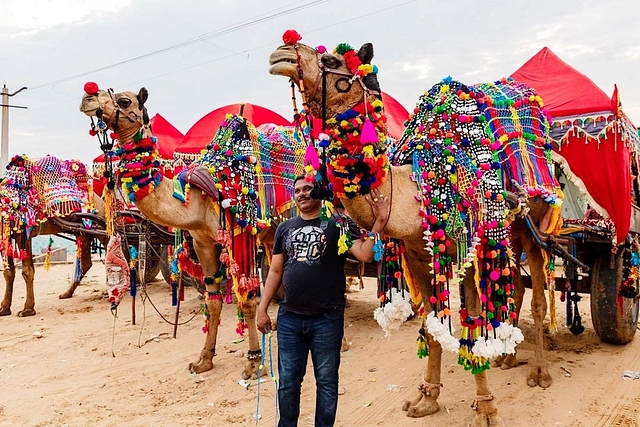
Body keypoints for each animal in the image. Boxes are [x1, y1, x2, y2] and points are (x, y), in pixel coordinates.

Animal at [0, 155, 109, 316]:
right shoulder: (6, 235)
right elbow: (8, 272)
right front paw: (4, 308)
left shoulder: (24, 233)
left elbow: (27, 271)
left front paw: (27, 309)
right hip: (83, 231)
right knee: (86, 262)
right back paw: (66, 294)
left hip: (102, 224)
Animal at [79, 85, 308, 380]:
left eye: (125, 100)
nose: (88, 96)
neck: (198, 195)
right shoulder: (203, 241)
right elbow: (212, 299)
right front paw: (204, 360)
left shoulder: (240, 235)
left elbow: (246, 299)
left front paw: (253, 361)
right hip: (272, 231)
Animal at [270, 31, 564, 426]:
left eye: (331, 61)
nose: (282, 51)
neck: (415, 186)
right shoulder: (416, 253)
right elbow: (431, 323)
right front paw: (425, 399)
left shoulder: (467, 249)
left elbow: (471, 320)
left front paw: (486, 408)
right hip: (510, 232)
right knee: (513, 287)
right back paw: (507, 355)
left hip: (534, 225)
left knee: (536, 297)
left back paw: (540, 373)